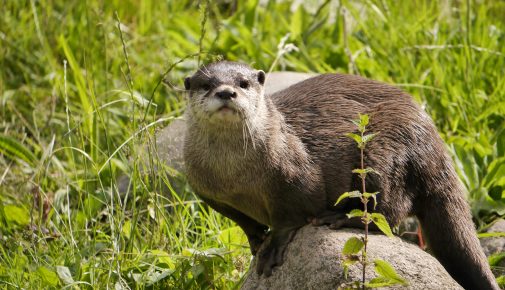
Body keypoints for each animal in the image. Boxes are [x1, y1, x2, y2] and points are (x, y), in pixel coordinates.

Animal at [181, 60, 496, 288]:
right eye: (206, 84)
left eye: (243, 83)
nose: (226, 92)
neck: (234, 178)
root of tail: (433, 140)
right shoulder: (204, 189)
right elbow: (241, 219)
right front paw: (256, 239)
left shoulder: (296, 177)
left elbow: (290, 214)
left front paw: (273, 245)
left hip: (384, 152)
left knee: (390, 210)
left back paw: (341, 217)